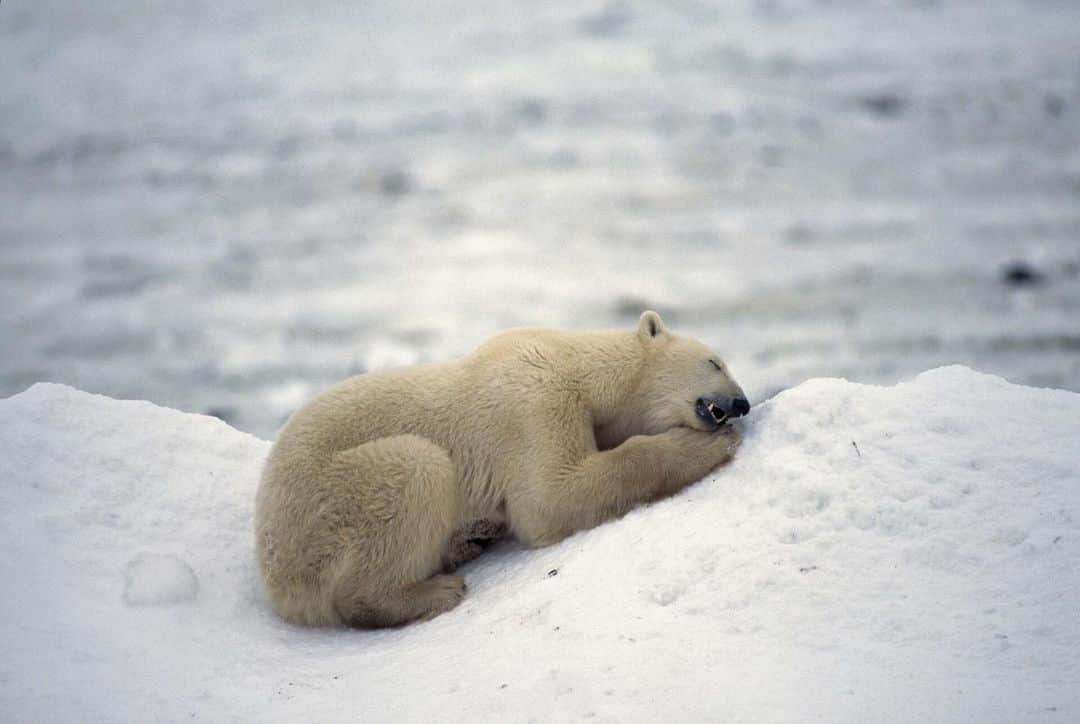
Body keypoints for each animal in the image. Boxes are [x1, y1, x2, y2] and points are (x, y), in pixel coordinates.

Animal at [259, 311, 751, 631]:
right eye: (715, 361)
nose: (742, 403)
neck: (574, 360)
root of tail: (275, 578)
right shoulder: (534, 401)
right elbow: (552, 497)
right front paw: (704, 446)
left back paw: (468, 542)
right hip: (331, 505)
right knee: (416, 468)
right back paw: (435, 590)